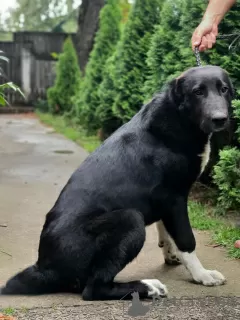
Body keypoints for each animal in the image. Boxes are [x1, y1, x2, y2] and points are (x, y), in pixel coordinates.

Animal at [0, 65, 233, 300]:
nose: (220, 119)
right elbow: (186, 240)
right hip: (130, 219)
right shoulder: (175, 198)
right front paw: (201, 275)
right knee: (94, 289)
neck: (178, 116)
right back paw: (149, 287)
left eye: (223, 89)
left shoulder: (165, 202)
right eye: (198, 92)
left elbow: (166, 230)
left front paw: (170, 253)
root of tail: (44, 268)